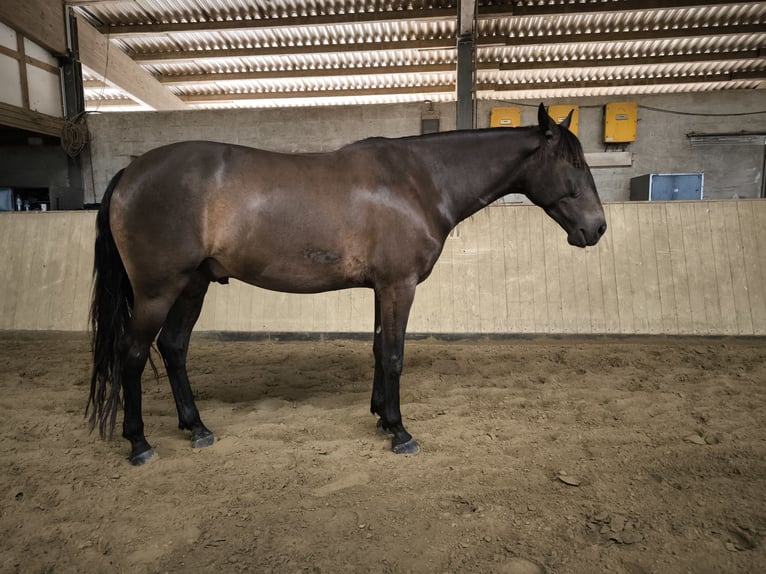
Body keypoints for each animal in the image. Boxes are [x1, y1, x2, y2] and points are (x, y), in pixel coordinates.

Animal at [88, 104, 608, 468]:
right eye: (575, 165)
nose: (598, 228)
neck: (418, 182)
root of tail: (131, 172)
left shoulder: (383, 288)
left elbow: (379, 349)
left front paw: (380, 418)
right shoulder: (399, 286)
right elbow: (394, 354)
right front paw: (400, 432)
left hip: (193, 285)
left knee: (173, 347)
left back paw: (196, 428)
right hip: (158, 290)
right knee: (133, 354)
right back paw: (139, 442)